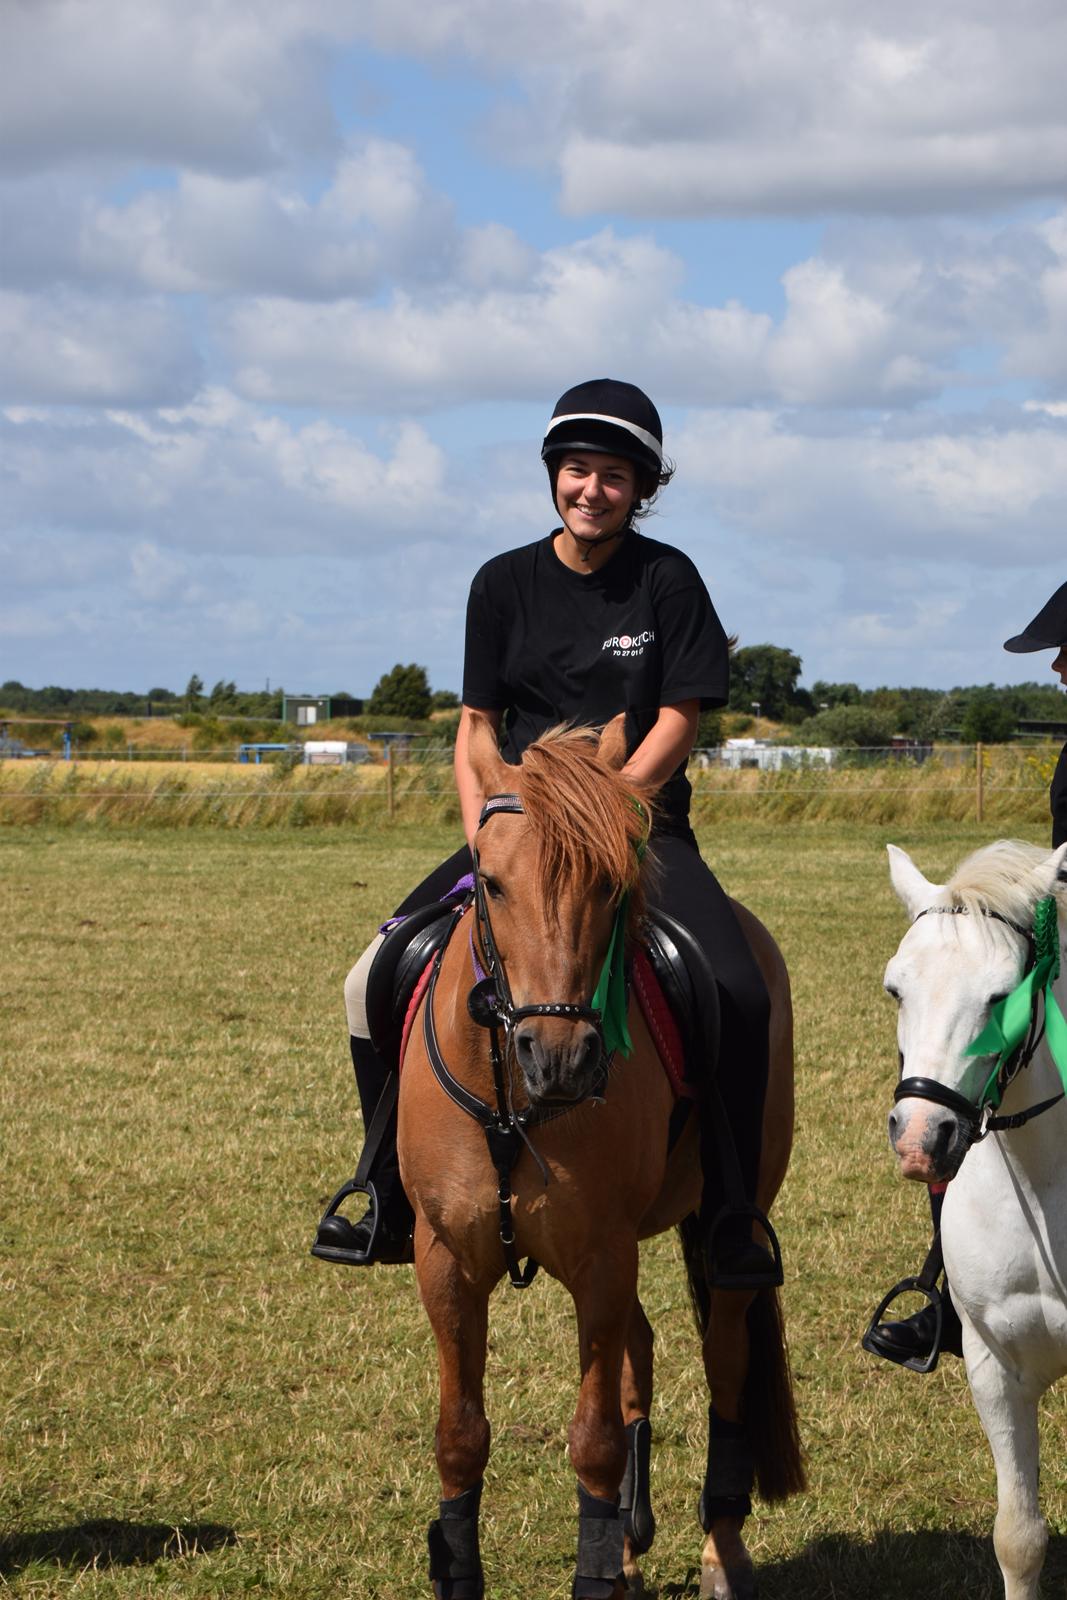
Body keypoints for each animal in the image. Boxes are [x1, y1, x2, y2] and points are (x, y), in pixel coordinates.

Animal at [399, 723, 799, 1600]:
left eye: (614, 886)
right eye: (490, 883)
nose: (560, 1058)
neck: (513, 1099)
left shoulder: (602, 1255)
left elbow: (593, 1439)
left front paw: (596, 1563)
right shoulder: (444, 1259)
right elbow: (459, 1435)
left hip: (725, 1235)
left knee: (723, 1363)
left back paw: (719, 1549)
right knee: (637, 1348)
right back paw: (628, 1538)